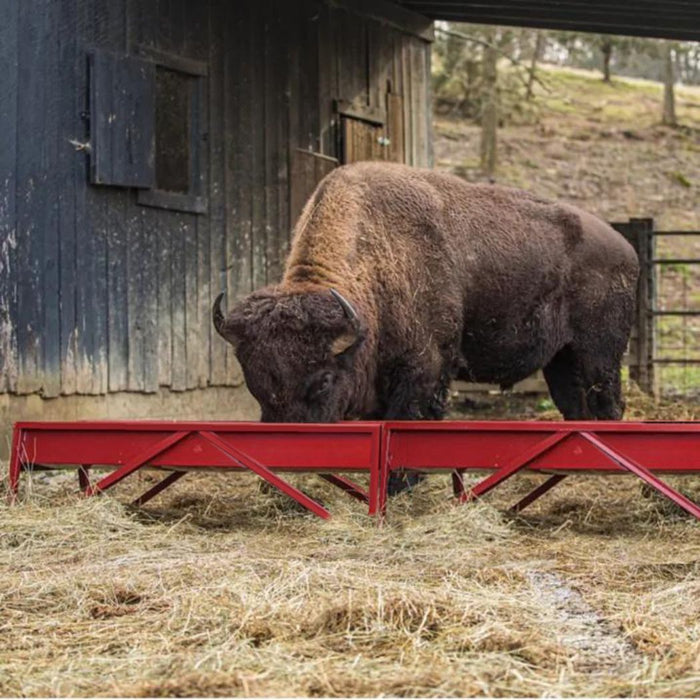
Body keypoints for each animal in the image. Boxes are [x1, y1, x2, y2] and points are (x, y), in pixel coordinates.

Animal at [213, 161, 639, 470]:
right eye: (256, 385)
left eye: (322, 382)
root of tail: (627, 248)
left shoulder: (425, 369)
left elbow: (410, 428)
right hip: (561, 359)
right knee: (575, 408)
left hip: (599, 355)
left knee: (607, 406)